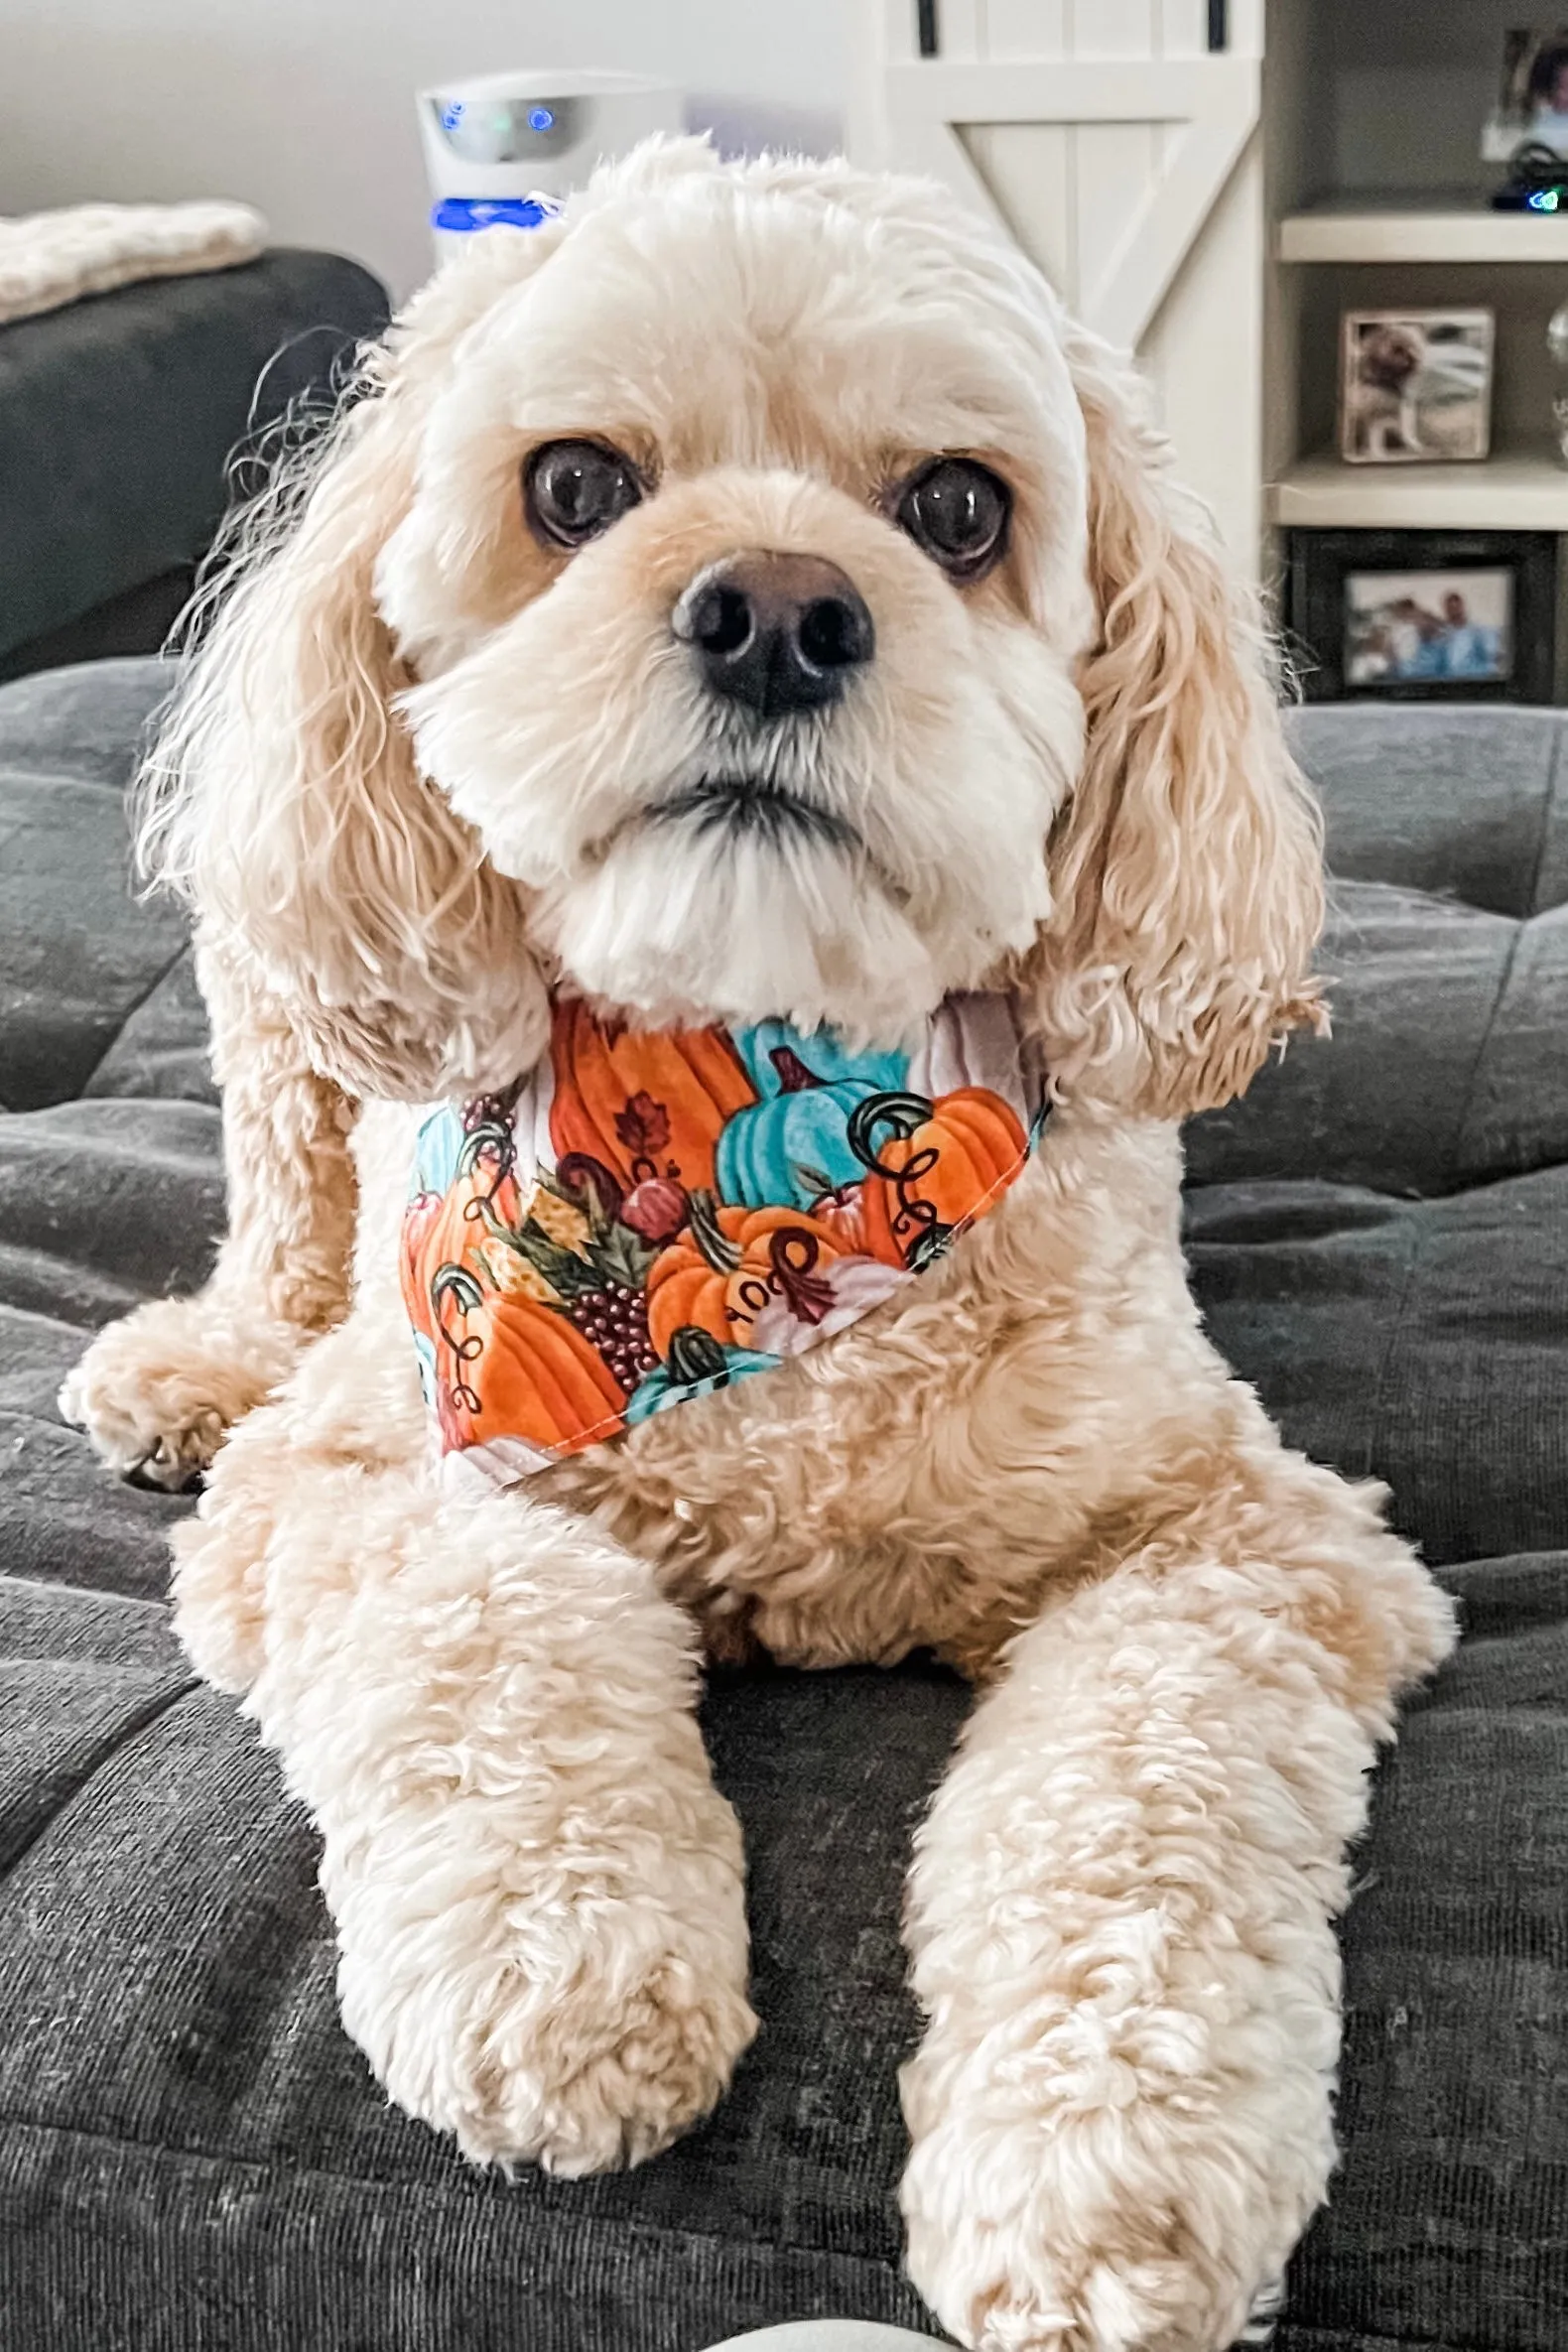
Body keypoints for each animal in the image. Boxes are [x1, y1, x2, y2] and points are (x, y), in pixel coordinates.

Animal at [61, 142, 1457, 2352]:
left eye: (961, 509)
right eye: (571, 485)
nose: (782, 613)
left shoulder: (1238, 1542)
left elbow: (1140, 1795)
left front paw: (1102, 2168)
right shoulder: (369, 1471)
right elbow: (494, 1646)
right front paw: (560, 1980)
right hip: (281, 1007)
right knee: (283, 1208)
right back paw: (191, 1360)